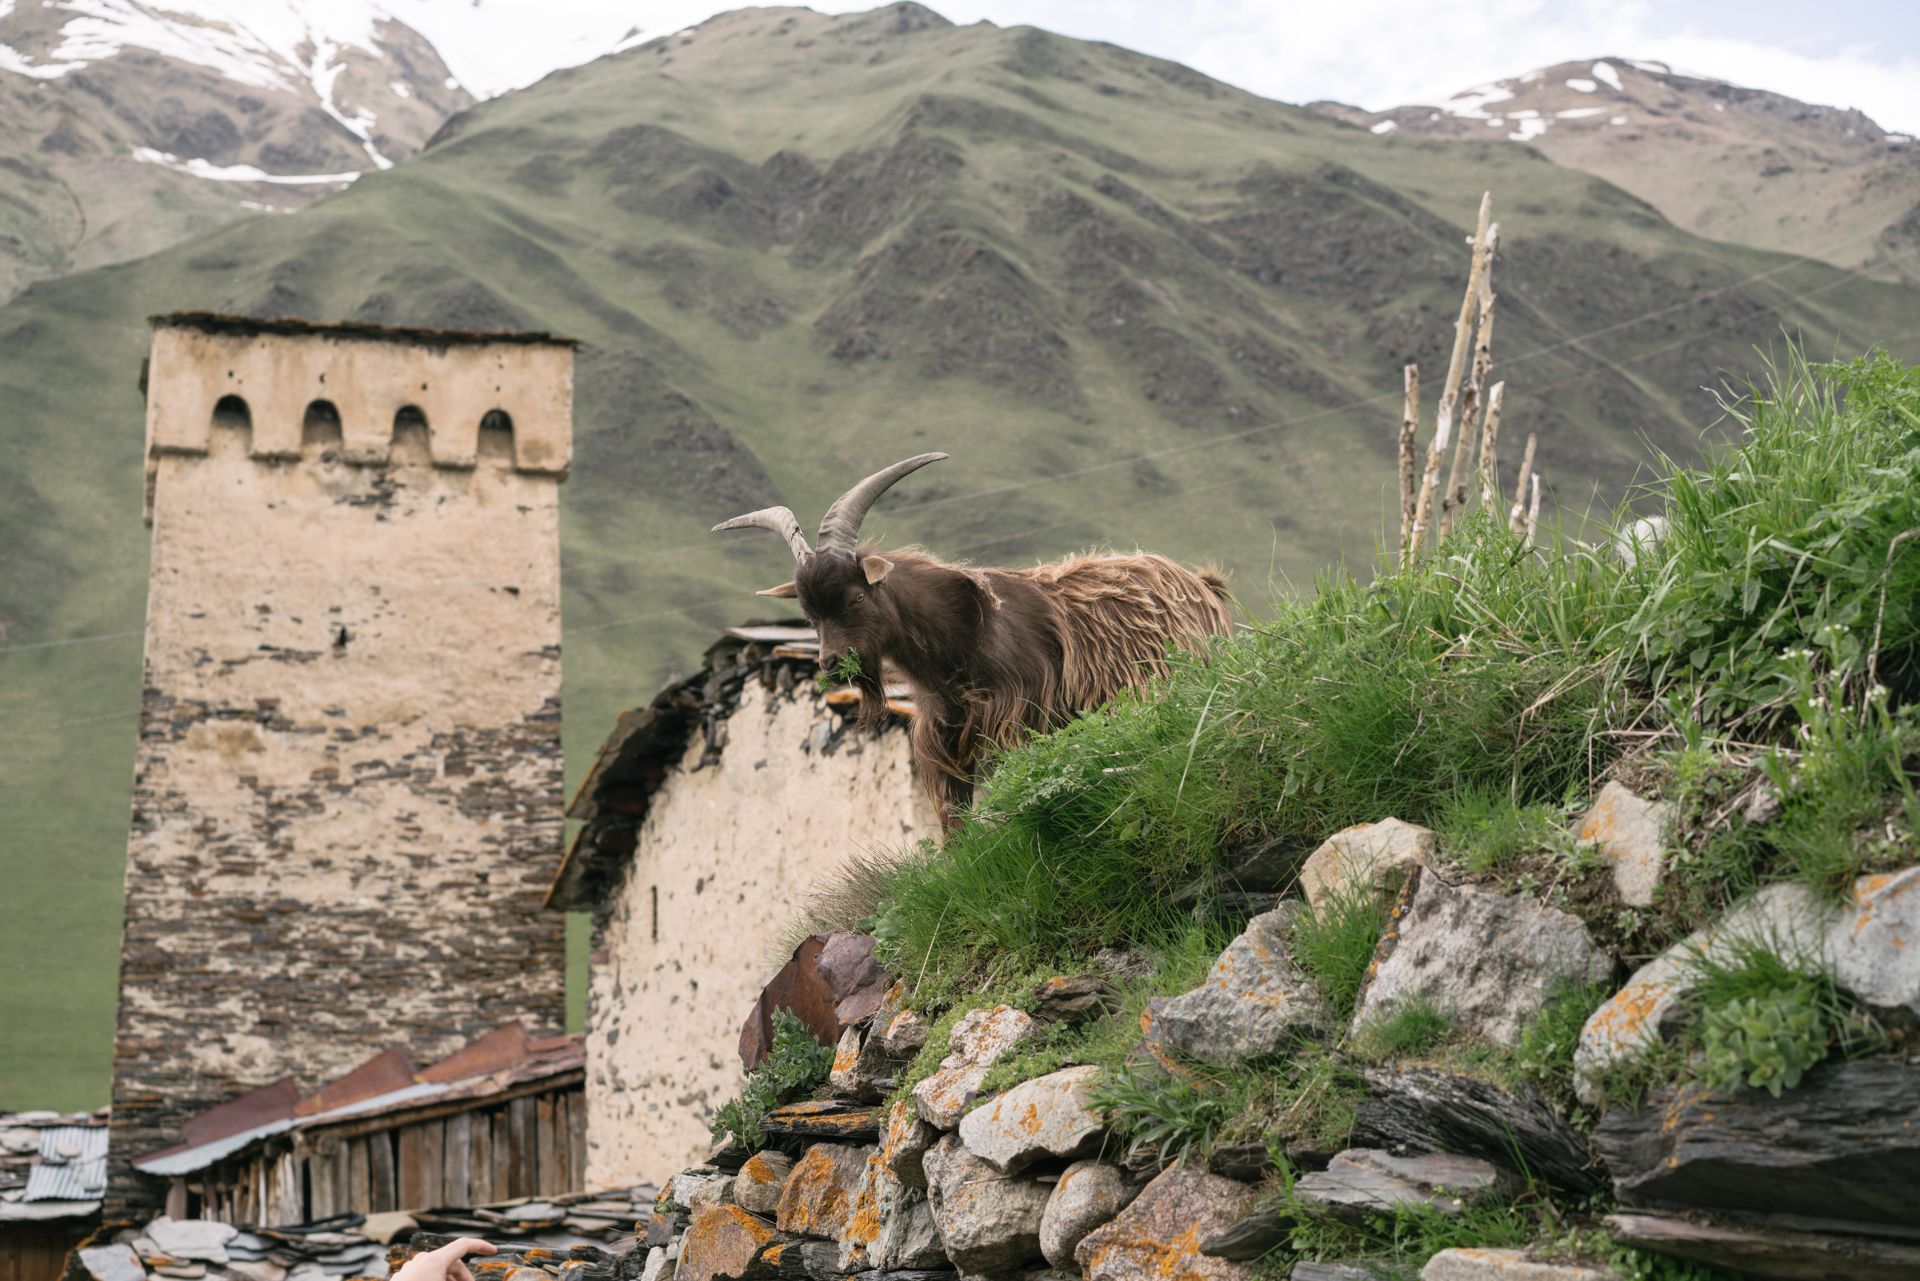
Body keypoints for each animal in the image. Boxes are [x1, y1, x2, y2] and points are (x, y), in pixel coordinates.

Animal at [713, 453, 1233, 824]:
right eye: (809, 615)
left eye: (857, 597)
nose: (831, 663)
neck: (962, 640)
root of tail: (1204, 585)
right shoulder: (943, 743)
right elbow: (953, 825)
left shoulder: (1020, 720)